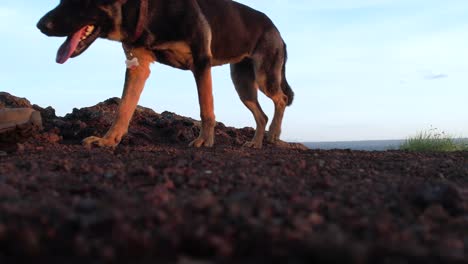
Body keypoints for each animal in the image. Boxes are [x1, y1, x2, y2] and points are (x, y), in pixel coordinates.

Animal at [37, 0, 292, 148]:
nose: (40, 25)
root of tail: (277, 30)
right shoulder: (138, 67)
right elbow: (124, 108)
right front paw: (108, 140)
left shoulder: (201, 64)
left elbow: (206, 108)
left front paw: (204, 140)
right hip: (242, 84)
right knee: (262, 115)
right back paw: (256, 142)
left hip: (264, 78)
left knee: (281, 99)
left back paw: (273, 134)